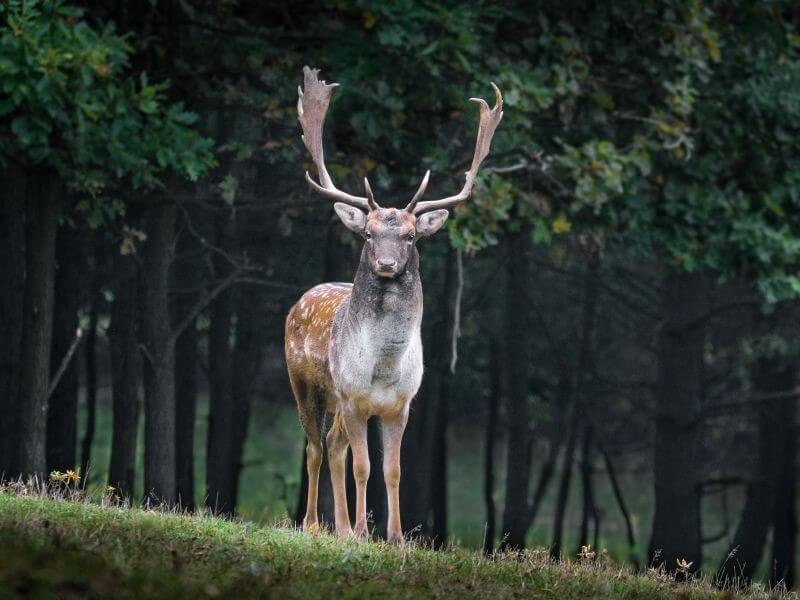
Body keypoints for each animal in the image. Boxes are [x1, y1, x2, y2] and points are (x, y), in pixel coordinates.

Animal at [285, 66, 502, 544]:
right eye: (368, 233)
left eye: (410, 235)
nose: (385, 263)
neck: (383, 367)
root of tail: (301, 299)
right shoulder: (354, 397)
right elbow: (364, 467)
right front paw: (364, 531)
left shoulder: (401, 405)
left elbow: (393, 470)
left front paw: (396, 536)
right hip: (305, 384)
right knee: (314, 446)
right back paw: (314, 524)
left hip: (336, 402)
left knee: (332, 446)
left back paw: (340, 527)